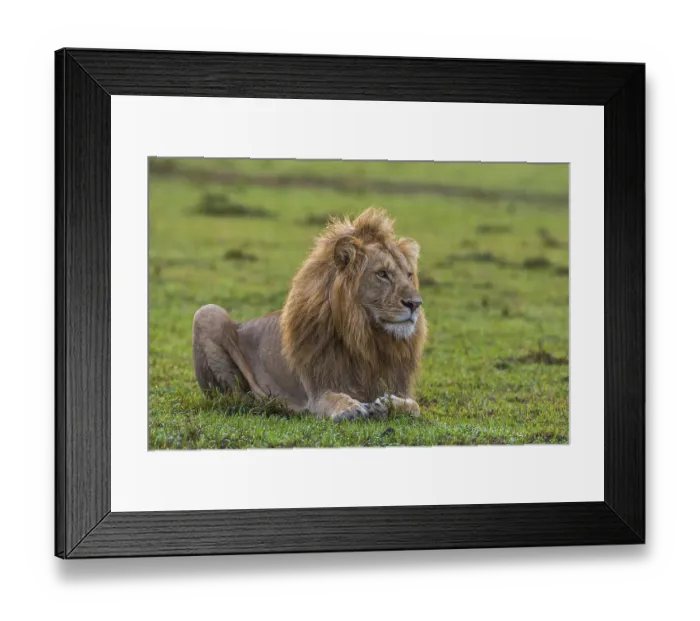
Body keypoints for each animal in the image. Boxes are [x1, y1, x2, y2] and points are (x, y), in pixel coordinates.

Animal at [192, 207, 427, 421]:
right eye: (382, 274)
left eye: (409, 274)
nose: (415, 304)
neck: (366, 339)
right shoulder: (317, 392)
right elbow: (333, 397)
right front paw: (350, 409)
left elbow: (414, 406)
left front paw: (385, 404)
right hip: (207, 313)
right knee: (236, 398)